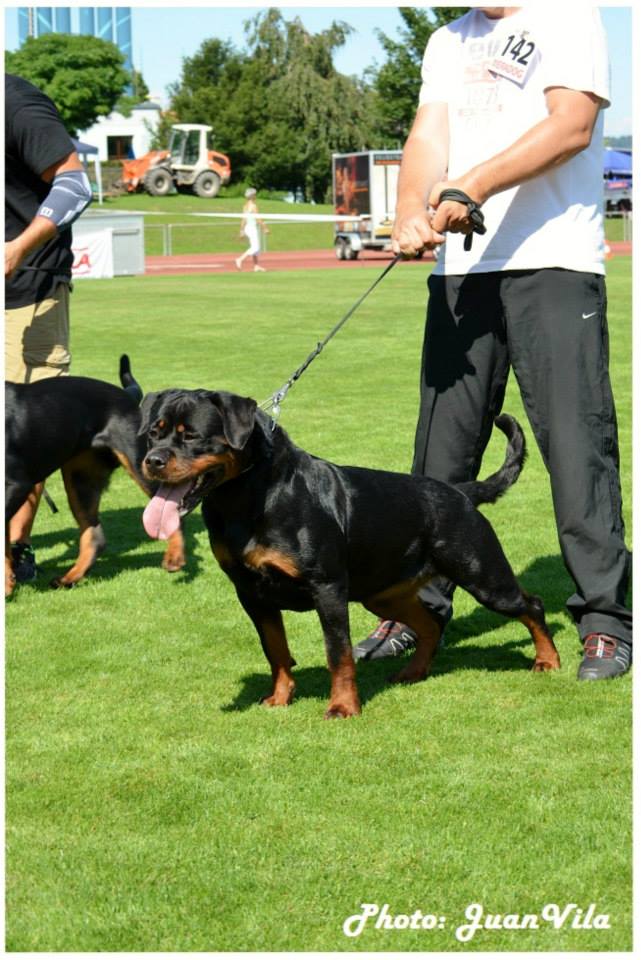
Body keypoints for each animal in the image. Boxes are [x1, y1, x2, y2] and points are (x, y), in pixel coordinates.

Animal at [4, 356, 185, 596]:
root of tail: (127, 395)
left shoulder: (17, 483)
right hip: (81, 479)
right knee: (95, 537)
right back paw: (68, 578)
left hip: (143, 464)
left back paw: (175, 556)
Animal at [138, 386, 556, 716]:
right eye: (154, 434)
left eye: (192, 435)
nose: (152, 461)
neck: (248, 496)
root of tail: (462, 492)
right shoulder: (251, 593)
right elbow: (275, 650)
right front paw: (279, 698)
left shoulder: (327, 588)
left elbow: (336, 654)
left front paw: (342, 707)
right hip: (384, 594)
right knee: (429, 624)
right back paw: (413, 672)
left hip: (482, 573)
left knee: (530, 605)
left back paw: (548, 660)